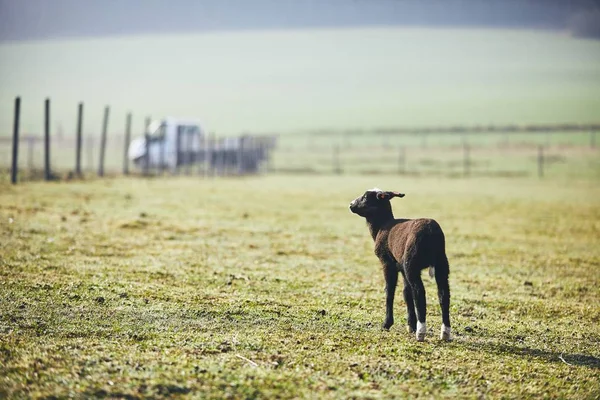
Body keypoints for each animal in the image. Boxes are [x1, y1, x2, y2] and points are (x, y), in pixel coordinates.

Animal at [350, 188, 452, 340]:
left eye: (365, 197)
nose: (351, 204)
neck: (382, 225)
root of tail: (431, 231)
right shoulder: (402, 268)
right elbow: (406, 293)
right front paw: (411, 325)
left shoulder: (388, 263)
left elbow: (389, 291)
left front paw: (387, 324)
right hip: (441, 264)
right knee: (443, 295)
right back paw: (445, 332)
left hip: (412, 264)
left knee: (419, 293)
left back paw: (421, 332)